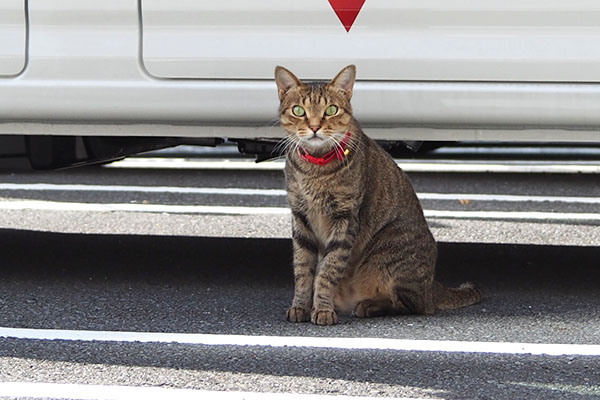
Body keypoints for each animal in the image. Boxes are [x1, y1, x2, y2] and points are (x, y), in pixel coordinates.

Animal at [274, 63, 480, 324]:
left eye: (331, 110)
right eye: (299, 111)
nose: (314, 127)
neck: (315, 167)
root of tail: (432, 285)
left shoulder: (345, 218)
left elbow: (328, 270)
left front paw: (322, 309)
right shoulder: (300, 216)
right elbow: (303, 270)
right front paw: (301, 305)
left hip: (388, 247)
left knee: (414, 305)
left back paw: (370, 306)